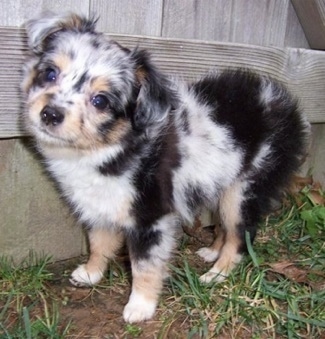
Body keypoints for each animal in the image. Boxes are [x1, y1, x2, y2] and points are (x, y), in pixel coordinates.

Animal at [22, 12, 308, 324]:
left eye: (100, 101)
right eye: (50, 73)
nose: (50, 114)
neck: (110, 147)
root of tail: (286, 102)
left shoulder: (151, 218)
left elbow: (144, 266)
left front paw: (140, 307)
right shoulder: (102, 204)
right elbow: (99, 243)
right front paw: (91, 273)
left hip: (246, 188)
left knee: (241, 235)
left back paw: (217, 273)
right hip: (223, 183)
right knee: (225, 227)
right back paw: (211, 252)